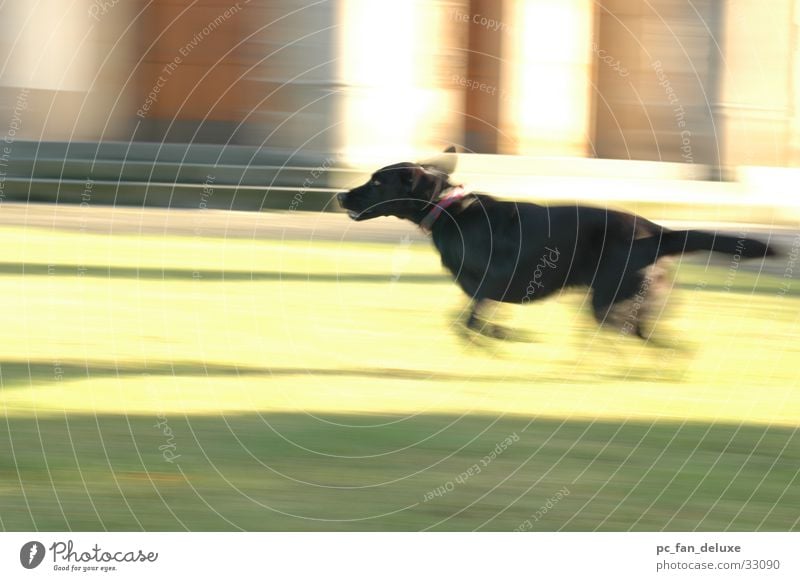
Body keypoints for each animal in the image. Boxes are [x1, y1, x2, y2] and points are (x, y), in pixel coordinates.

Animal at [338, 148, 776, 340]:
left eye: (376, 181)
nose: (341, 195)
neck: (452, 211)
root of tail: (656, 231)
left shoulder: (491, 284)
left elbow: (467, 322)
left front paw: (503, 338)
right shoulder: (489, 291)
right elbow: (470, 322)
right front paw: (502, 336)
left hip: (608, 300)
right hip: (628, 302)